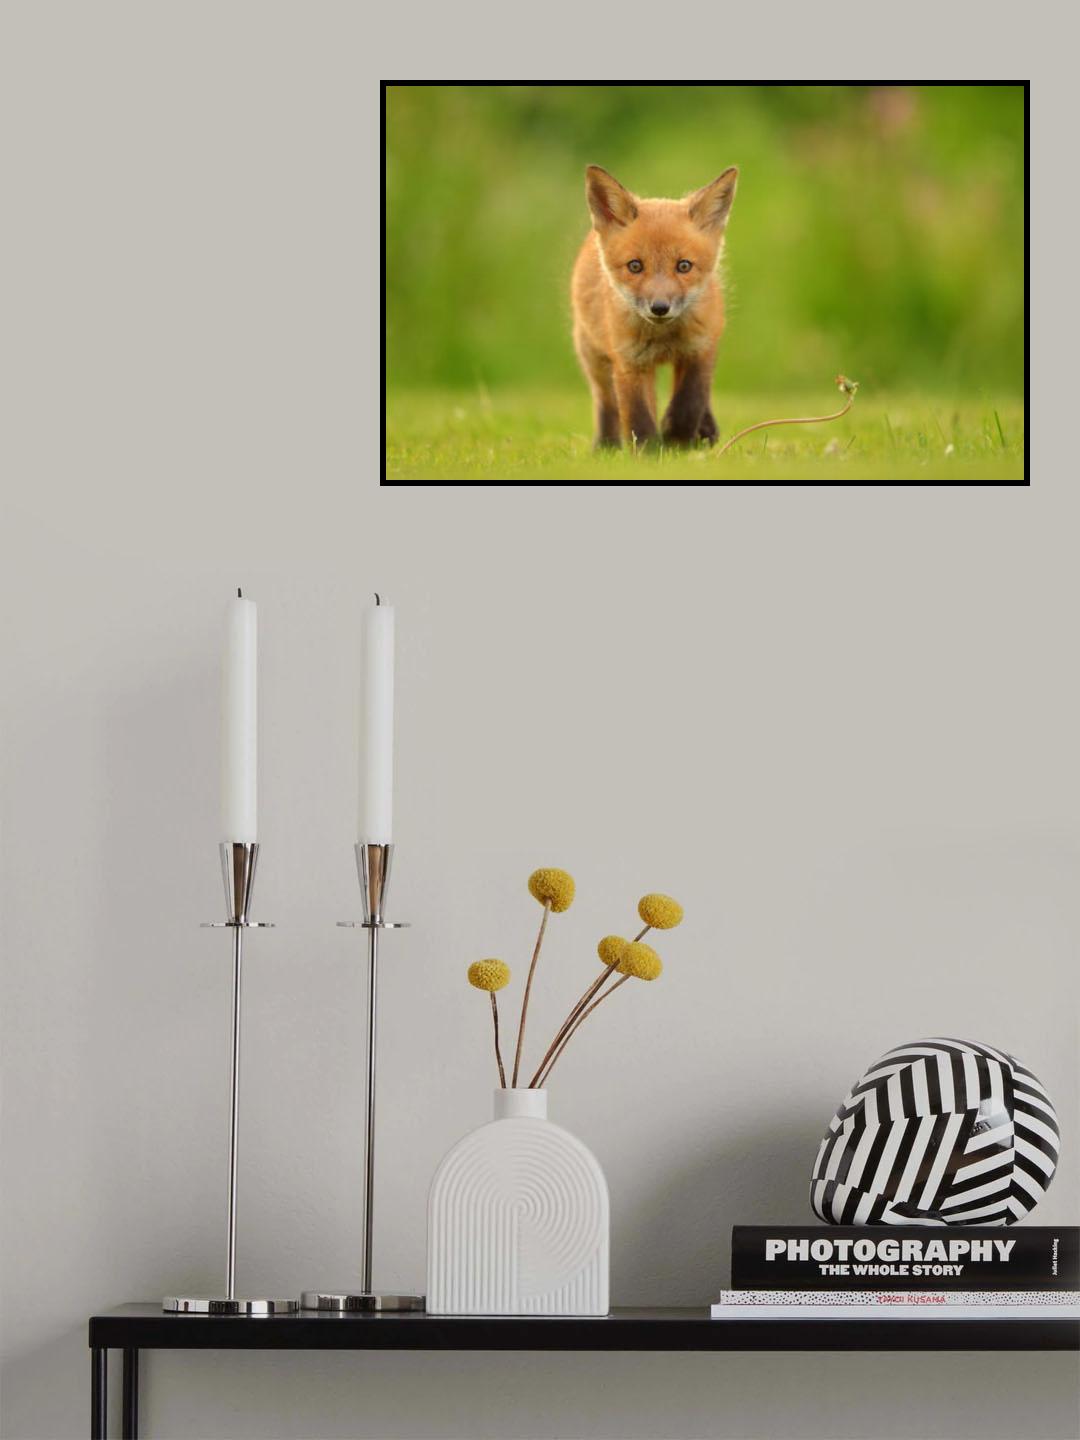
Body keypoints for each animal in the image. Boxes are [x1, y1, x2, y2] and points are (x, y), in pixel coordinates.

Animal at [571, 164, 738, 450]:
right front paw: (650, 453)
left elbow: (690, 401)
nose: (659, 307)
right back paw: (606, 446)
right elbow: (638, 417)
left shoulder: (700, 348)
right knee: (606, 402)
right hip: (593, 356)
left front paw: (677, 439)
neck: (664, 338)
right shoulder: (629, 362)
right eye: (635, 266)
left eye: (684, 266)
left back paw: (705, 431)